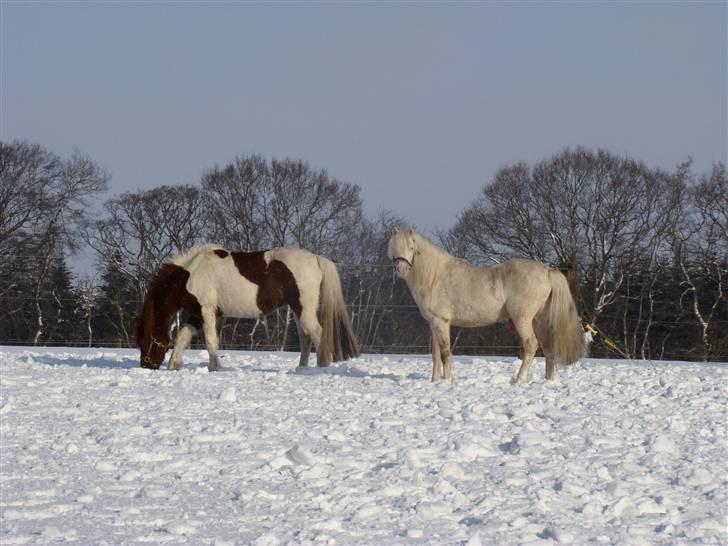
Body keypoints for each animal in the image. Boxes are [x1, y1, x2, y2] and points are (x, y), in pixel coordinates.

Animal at [134, 244, 360, 371]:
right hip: (298, 309)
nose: (147, 365)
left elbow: (210, 341)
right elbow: (182, 336)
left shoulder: (207, 312)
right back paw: (301, 368)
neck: (191, 274)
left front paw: (215, 367)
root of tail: (317, 259)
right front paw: (174, 365)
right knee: (306, 338)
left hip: (304, 310)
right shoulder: (198, 315)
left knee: (318, 335)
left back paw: (321, 368)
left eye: (144, 339)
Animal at [387, 228, 585, 384]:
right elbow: (435, 355)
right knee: (548, 349)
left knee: (531, 345)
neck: (435, 277)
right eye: (393, 248)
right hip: (539, 320)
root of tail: (547, 270)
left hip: (523, 319)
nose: (401, 270)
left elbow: (445, 353)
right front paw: (435, 381)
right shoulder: (433, 324)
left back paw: (518, 380)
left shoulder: (441, 322)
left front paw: (448, 381)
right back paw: (548, 381)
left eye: (411, 247)